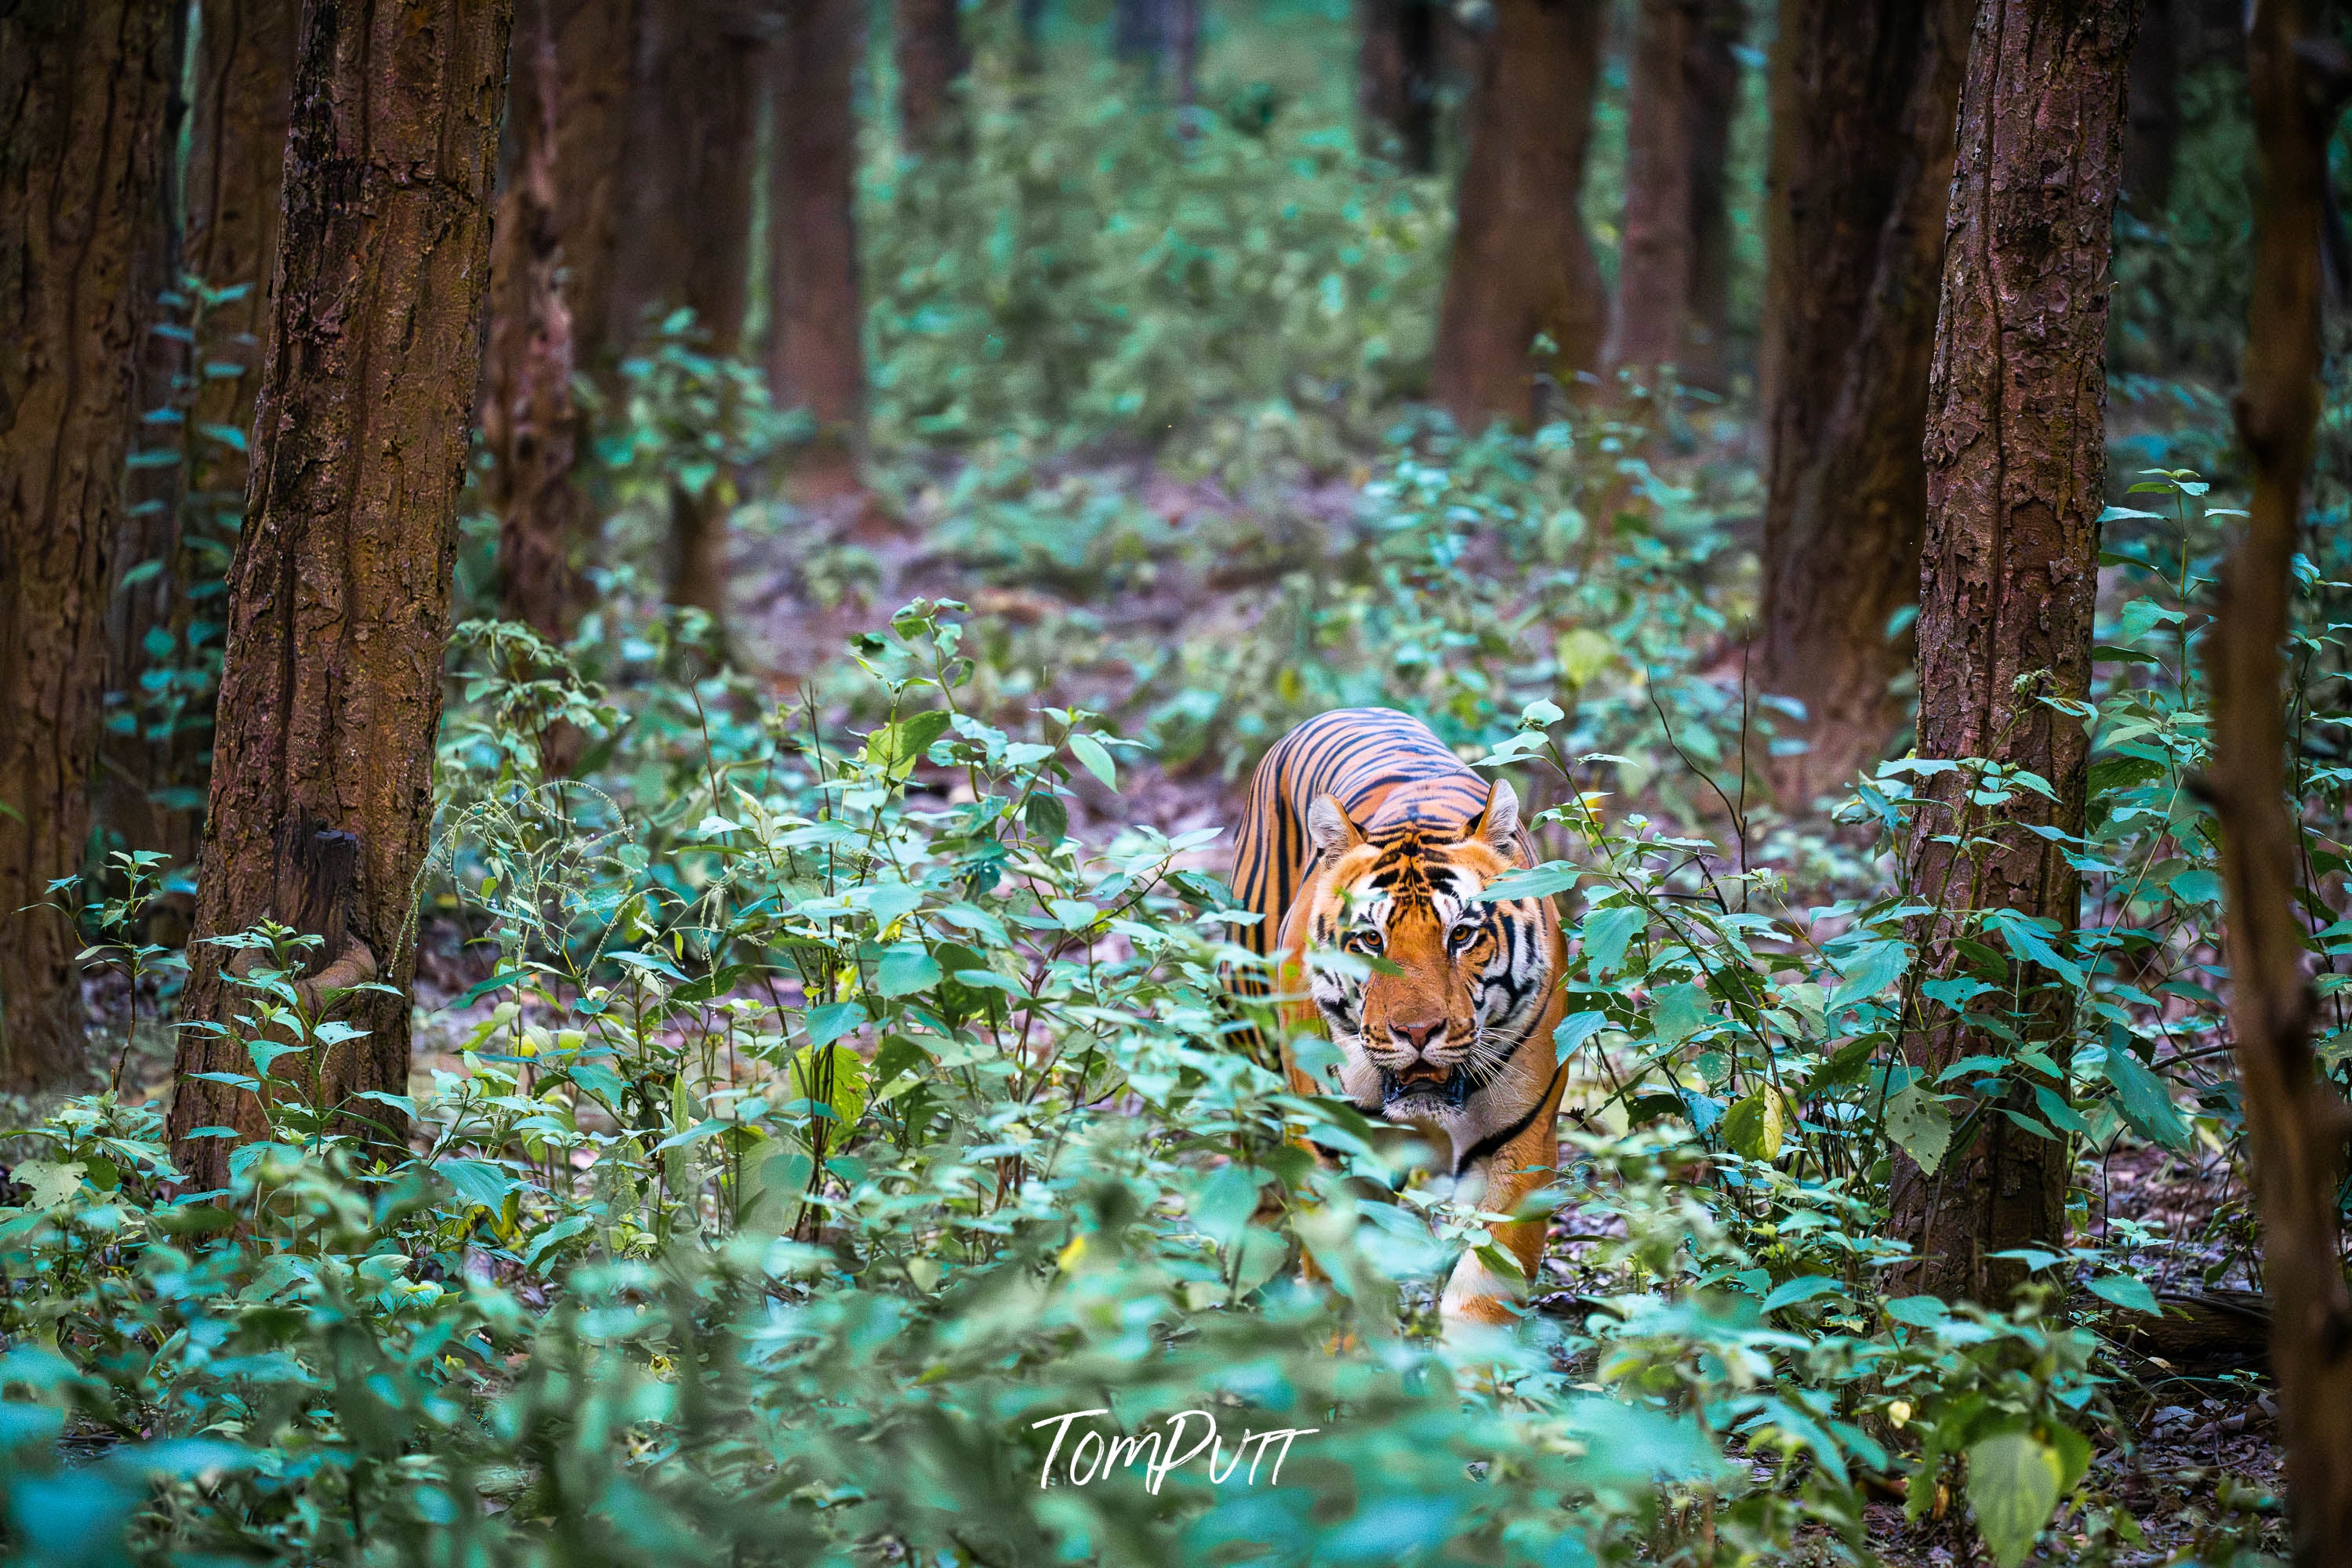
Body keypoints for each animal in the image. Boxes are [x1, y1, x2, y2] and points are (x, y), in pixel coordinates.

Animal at [1229, 707, 1569, 1325]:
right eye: (1370, 939)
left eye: (1461, 935)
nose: (1416, 1032)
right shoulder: (1330, 1144)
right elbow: (1346, 1275)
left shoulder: (1521, 1148)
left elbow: (1484, 1291)